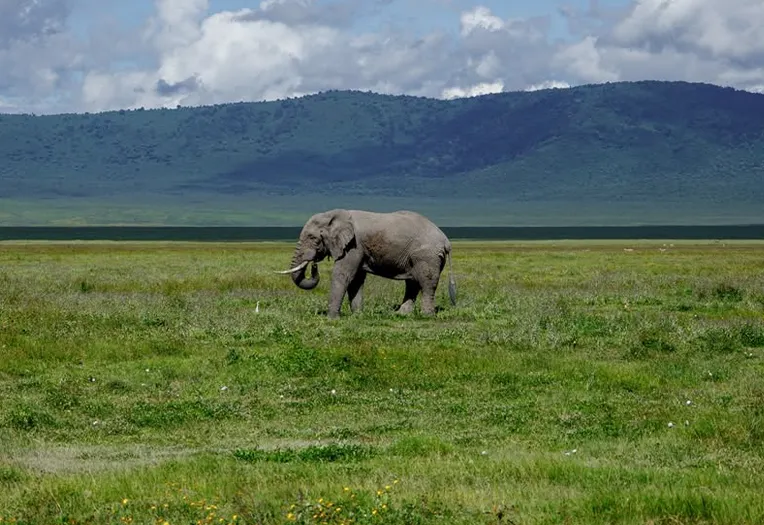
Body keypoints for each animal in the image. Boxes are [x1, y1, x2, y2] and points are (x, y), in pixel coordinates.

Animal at [276, 209, 456, 318]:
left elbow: (343, 275)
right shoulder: (358, 249)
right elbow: (356, 280)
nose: (314, 265)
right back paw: (400, 315)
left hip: (427, 255)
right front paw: (357, 316)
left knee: (426, 284)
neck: (334, 215)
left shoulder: (353, 245)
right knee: (412, 284)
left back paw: (426, 316)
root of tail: (446, 240)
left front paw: (332, 318)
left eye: (313, 238)